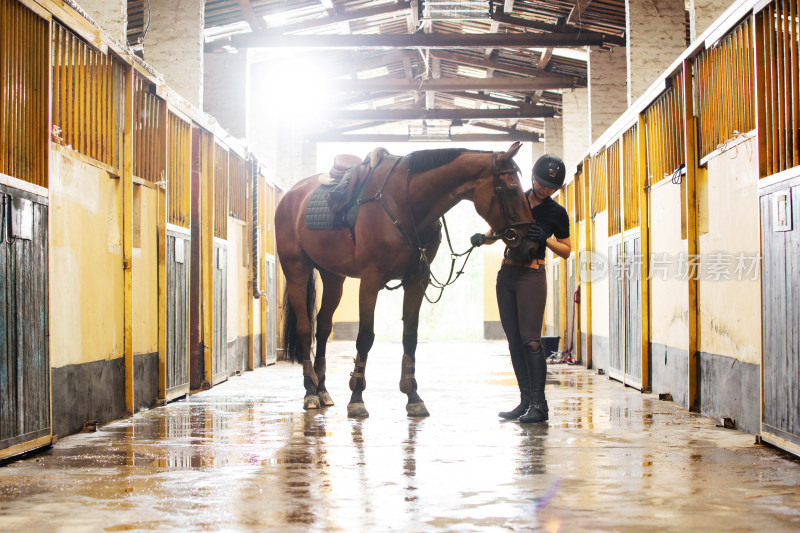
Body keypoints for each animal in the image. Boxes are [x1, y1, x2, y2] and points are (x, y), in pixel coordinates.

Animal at [274, 143, 532, 418]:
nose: (528, 243)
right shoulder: (370, 280)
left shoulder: (417, 279)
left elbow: (410, 336)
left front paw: (413, 396)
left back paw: (322, 391)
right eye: (512, 189)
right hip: (297, 271)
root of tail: (291, 196)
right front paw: (357, 397)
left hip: (333, 277)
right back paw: (310, 392)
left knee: (322, 326)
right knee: (305, 328)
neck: (405, 202)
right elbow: (365, 337)